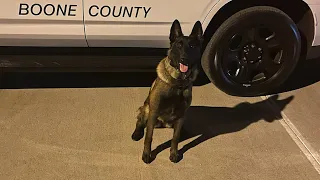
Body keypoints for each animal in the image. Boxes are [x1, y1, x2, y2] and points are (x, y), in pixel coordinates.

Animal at [131, 19, 204, 163]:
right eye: (179, 46)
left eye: (192, 46)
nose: (184, 59)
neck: (178, 82)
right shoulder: (153, 112)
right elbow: (149, 136)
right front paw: (147, 154)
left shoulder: (181, 115)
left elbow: (175, 138)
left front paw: (174, 153)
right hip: (147, 110)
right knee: (140, 122)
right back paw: (137, 133)